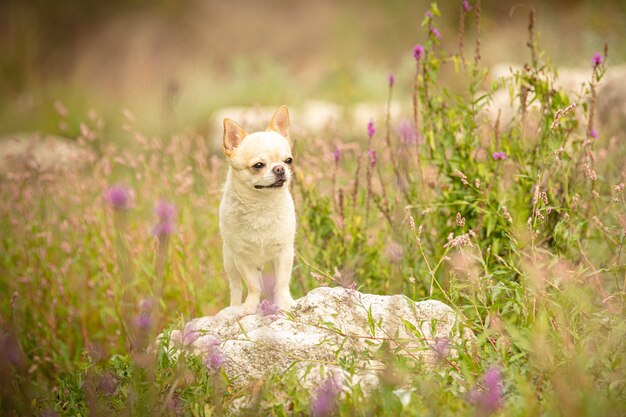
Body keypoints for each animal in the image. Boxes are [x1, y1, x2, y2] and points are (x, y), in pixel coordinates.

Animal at [218, 105, 296, 314]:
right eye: (258, 166)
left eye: (288, 160)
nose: (279, 169)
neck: (262, 206)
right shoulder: (242, 258)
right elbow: (253, 286)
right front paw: (250, 306)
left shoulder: (284, 253)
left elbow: (282, 283)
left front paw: (285, 303)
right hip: (229, 260)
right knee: (236, 286)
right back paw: (234, 306)